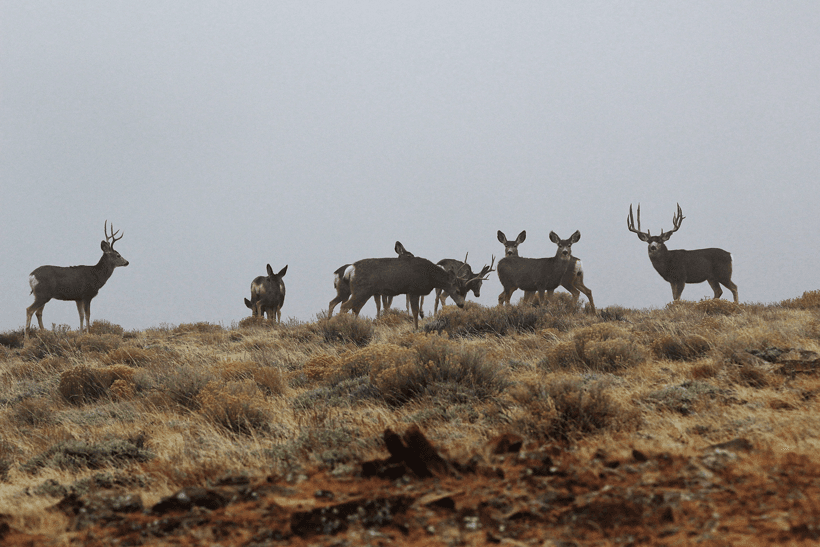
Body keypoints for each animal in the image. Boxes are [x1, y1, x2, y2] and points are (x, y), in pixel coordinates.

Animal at [339, 253, 491, 329]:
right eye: (458, 290)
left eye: (466, 291)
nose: (461, 305)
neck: (429, 276)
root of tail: (351, 269)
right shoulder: (413, 290)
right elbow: (416, 312)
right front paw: (416, 329)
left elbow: (415, 313)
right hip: (361, 290)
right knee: (345, 306)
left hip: (364, 292)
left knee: (354, 308)